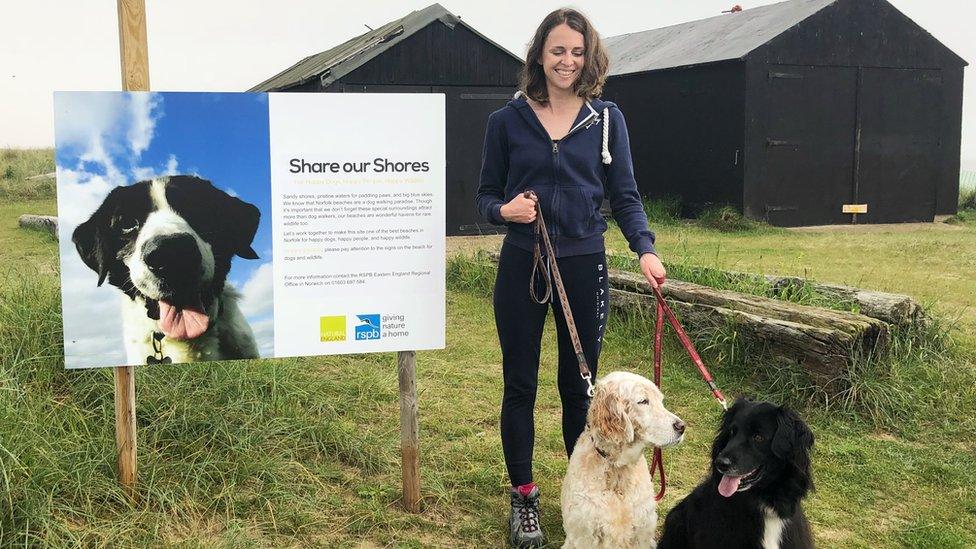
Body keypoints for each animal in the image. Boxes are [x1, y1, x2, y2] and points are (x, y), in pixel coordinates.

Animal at [560, 370, 692, 544]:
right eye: (643, 401)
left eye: (661, 401)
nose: (681, 427)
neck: (617, 470)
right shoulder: (583, 535)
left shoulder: (643, 534)